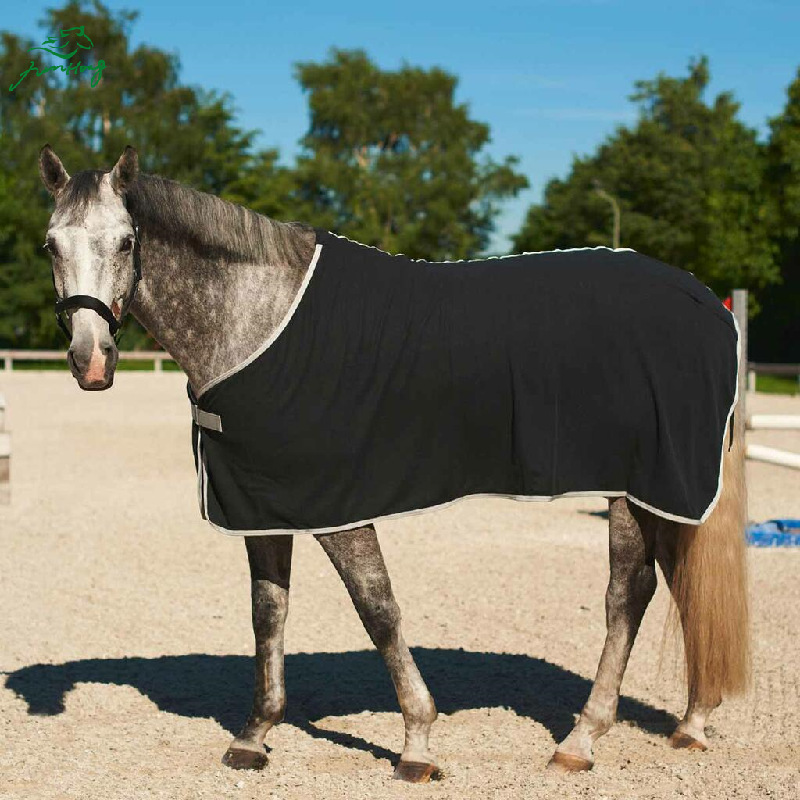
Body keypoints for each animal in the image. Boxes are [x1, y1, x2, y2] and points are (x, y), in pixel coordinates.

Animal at [38, 144, 750, 783]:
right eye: (50, 245)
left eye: (126, 241)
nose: (90, 360)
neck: (260, 321)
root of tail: (703, 303)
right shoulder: (263, 505)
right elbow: (269, 614)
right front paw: (255, 736)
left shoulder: (338, 507)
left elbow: (378, 610)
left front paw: (418, 743)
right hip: (663, 489)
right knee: (682, 583)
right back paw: (692, 723)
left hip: (635, 484)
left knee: (629, 594)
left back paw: (581, 740)